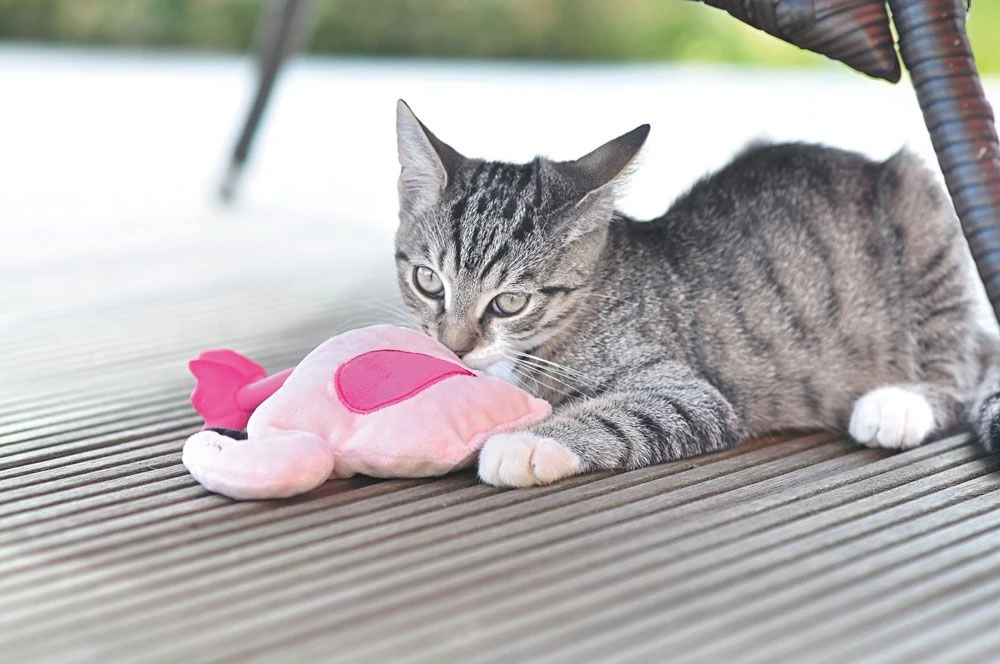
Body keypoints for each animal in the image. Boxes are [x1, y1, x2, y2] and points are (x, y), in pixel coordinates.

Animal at [392, 99, 1000, 488]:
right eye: (429, 280)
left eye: (510, 302)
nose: (454, 346)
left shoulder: (693, 394)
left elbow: (624, 414)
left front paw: (529, 441)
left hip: (923, 205)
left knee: (958, 371)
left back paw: (898, 405)